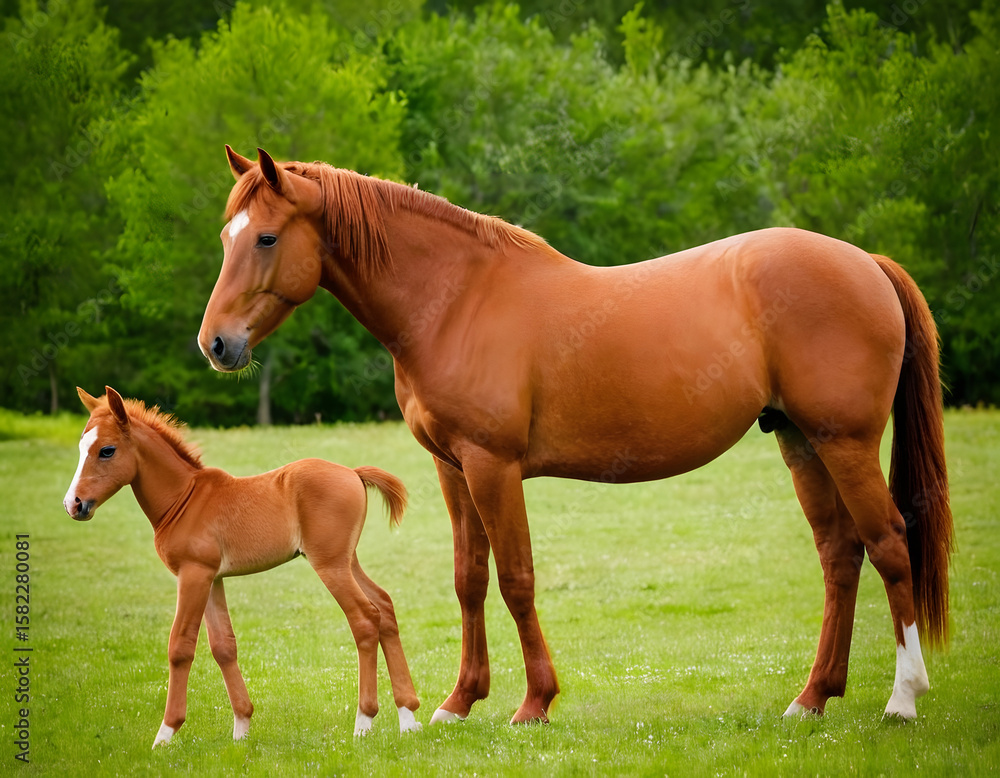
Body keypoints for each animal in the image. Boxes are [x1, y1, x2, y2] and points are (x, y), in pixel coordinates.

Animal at [62, 386, 421, 747]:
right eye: (81, 448)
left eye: (107, 450)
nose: (73, 504)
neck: (184, 499)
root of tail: (354, 473)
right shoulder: (212, 578)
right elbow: (223, 646)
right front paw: (241, 729)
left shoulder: (193, 574)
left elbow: (180, 646)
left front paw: (165, 735)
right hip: (347, 559)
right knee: (384, 606)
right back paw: (407, 716)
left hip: (330, 564)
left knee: (364, 618)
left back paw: (364, 720)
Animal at [197, 146, 953, 725]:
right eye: (226, 238)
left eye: (266, 237)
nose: (216, 344)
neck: (456, 299)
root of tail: (866, 263)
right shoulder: (453, 468)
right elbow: (469, 579)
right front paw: (458, 702)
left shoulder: (493, 467)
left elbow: (516, 579)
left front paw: (534, 703)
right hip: (799, 441)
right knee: (840, 555)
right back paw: (813, 697)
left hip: (844, 441)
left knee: (889, 544)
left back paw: (904, 697)